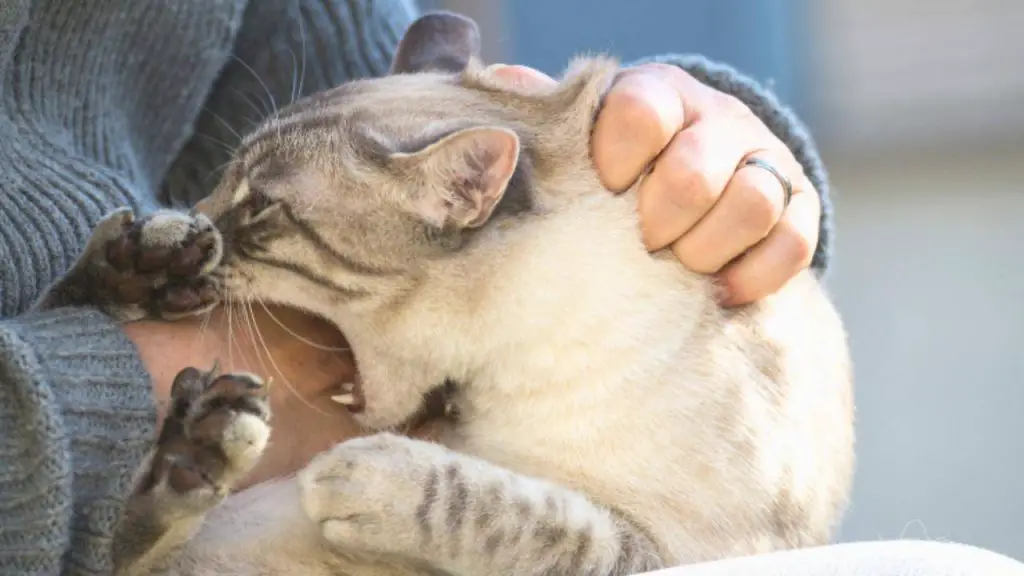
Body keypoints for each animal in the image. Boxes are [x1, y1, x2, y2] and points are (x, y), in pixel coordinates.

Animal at [37, 10, 856, 573]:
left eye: (260, 207)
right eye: (220, 176)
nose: (203, 220)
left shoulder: (682, 552)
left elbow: (518, 510)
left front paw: (366, 479)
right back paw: (150, 271)